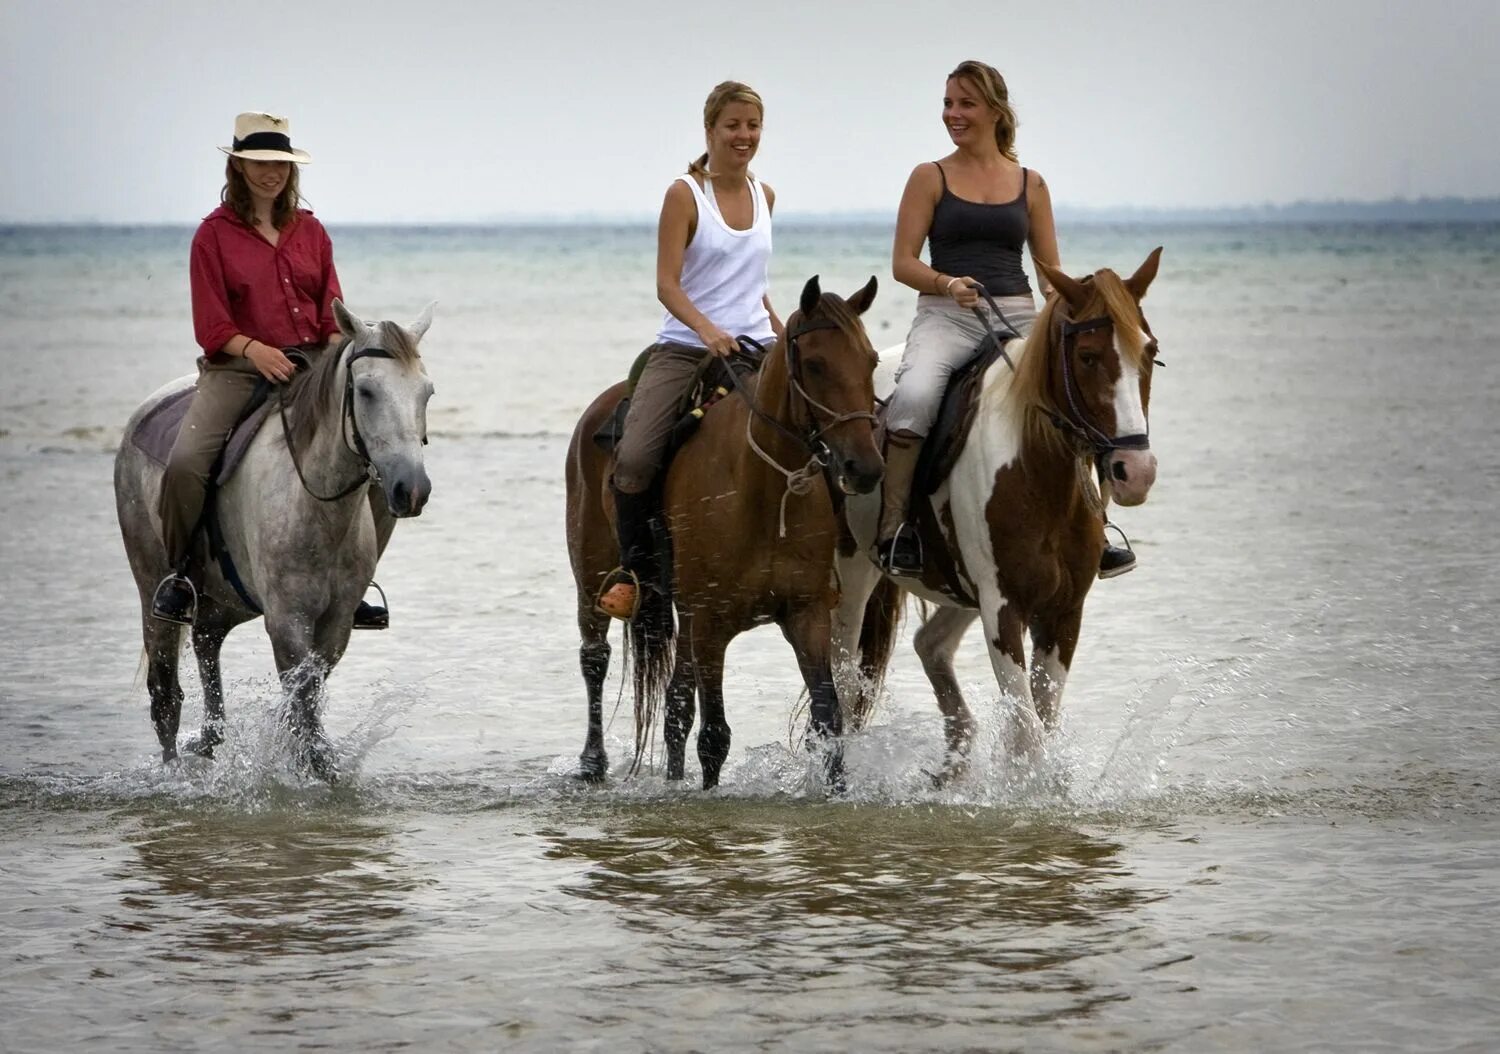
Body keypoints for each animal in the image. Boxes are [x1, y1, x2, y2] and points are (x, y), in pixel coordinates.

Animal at [116, 301, 435, 779]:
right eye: (366, 391)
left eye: (426, 392)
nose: (412, 490)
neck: (314, 503)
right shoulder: (286, 621)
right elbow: (304, 708)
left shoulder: (336, 624)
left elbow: (305, 702)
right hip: (151, 590)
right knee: (165, 696)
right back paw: (175, 773)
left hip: (223, 602)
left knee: (207, 646)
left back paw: (206, 744)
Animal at [567, 275, 882, 785]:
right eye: (815, 364)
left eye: (871, 360)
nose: (865, 468)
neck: (763, 489)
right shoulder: (711, 623)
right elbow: (715, 736)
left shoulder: (807, 615)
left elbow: (827, 717)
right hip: (593, 577)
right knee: (595, 659)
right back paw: (592, 763)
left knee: (675, 702)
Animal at [834, 251, 1158, 779]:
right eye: (1088, 357)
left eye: (1149, 353)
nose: (1136, 472)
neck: (1036, 469)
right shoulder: (1003, 609)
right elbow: (1027, 735)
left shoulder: (1063, 611)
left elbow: (1040, 724)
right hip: (856, 572)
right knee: (842, 677)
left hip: (960, 588)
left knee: (930, 643)